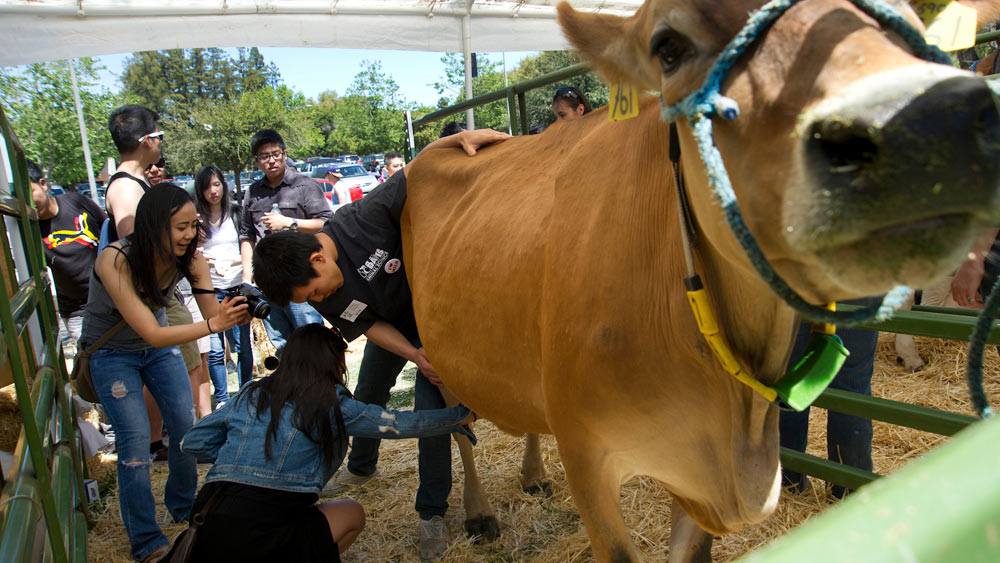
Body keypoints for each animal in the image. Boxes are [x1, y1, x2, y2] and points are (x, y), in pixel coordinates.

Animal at [402, 2, 1000, 560]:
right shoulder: (588, 457)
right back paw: (477, 512)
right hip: (430, 340)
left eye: (910, 20)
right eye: (668, 47)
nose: (924, 126)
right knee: (454, 423)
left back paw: (532, 474)